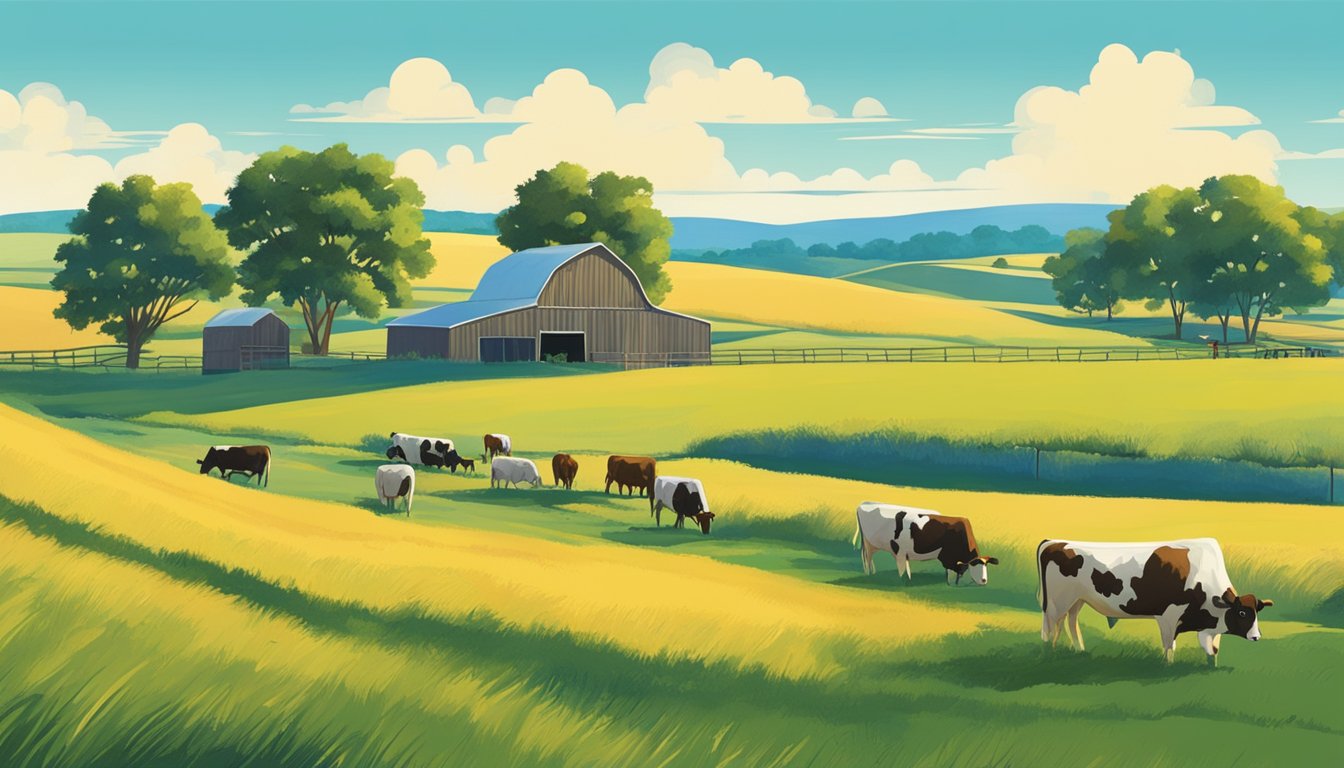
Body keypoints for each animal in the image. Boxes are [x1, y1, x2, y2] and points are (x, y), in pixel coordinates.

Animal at [849, 503, 999, 586]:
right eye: (975, 565)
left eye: (986, 565)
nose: (984, 580)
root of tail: (865, 503)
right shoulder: (948, 556)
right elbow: (951, 571)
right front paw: (951, 582)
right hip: (883, 547)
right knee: (872, 560)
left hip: (875, 546)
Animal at [1032, 535, 1274, 667]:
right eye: (1242, 613)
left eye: (1257, 612)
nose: (1256, 636)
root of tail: (1053, 542)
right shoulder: (1168, 617)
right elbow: (1169, 646)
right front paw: (1167, 666)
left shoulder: (1210, 627)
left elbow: (1212, 650)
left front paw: (1211, 666)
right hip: (1056, 602)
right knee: (1048, 628)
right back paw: (1048, 654)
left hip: (1076, 600)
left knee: (1070, 622)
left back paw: (1078, 650)